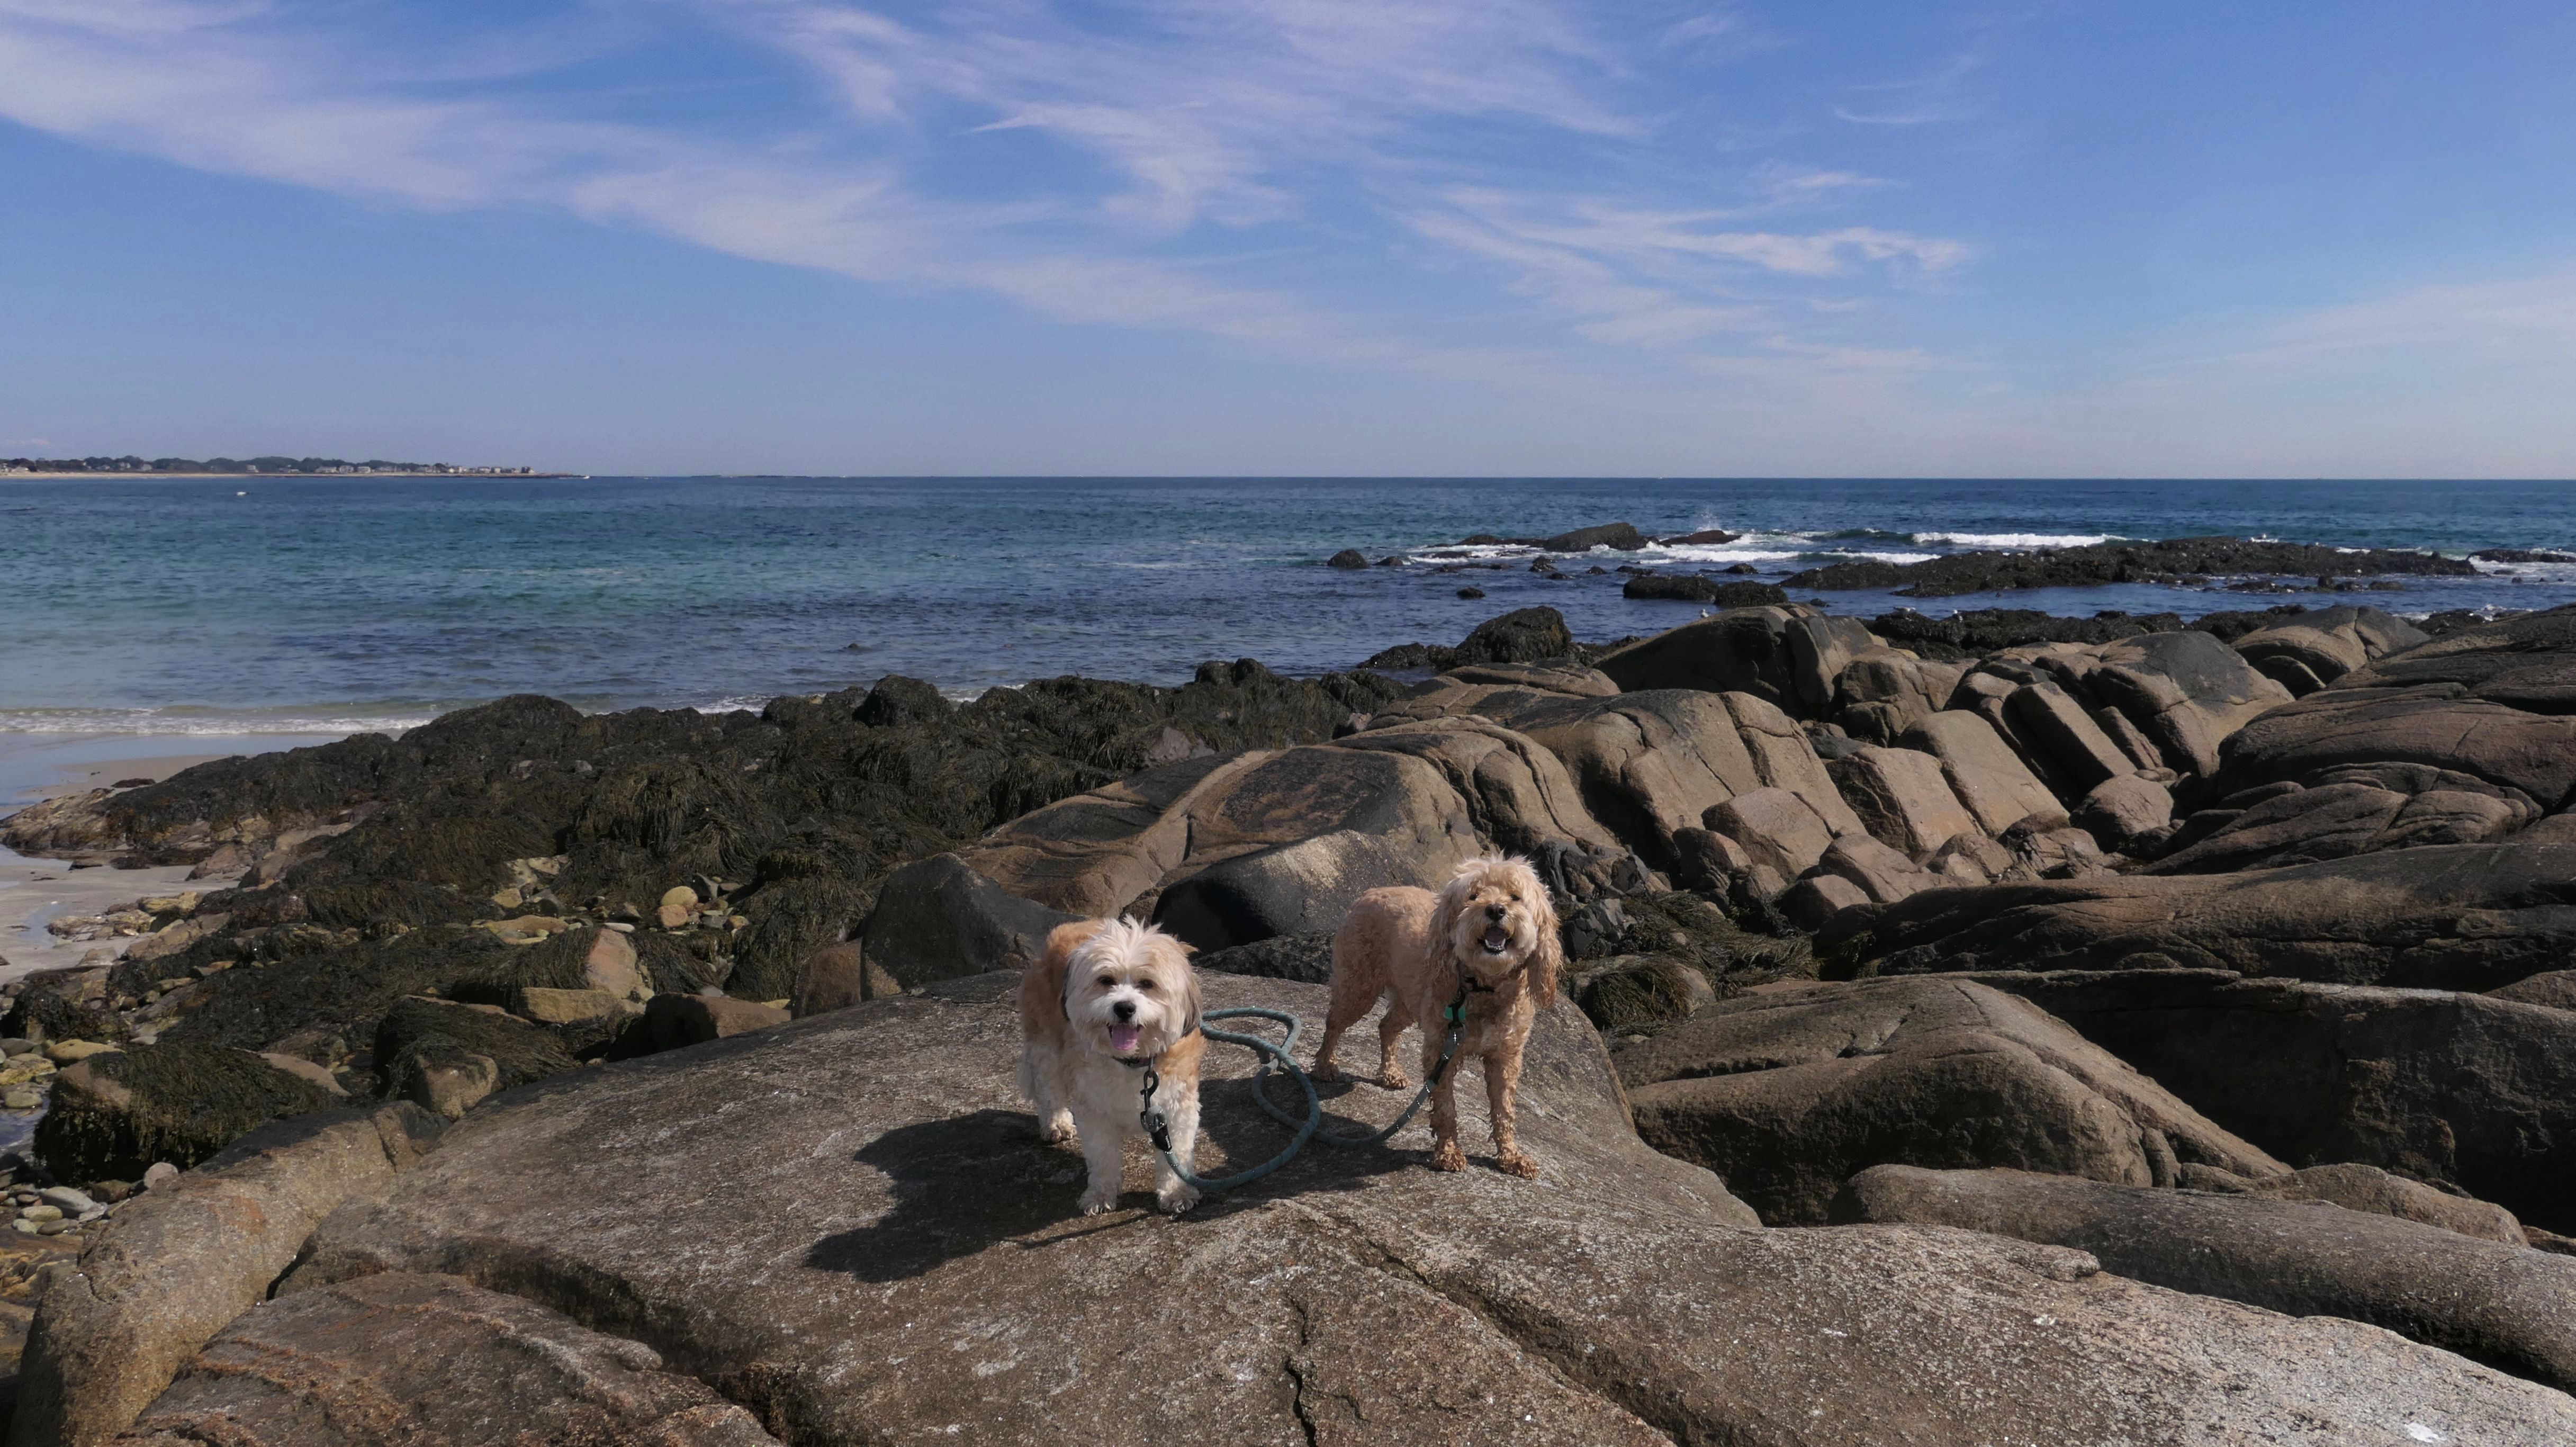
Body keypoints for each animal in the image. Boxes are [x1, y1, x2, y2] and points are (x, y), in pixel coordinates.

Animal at [1018, 917, 1206, 1215]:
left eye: (1147, 983)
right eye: (1106, 981)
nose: (1124, 1008)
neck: (1131, 1061)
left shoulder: (1177, 1109)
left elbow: (1174, 1154)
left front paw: (1177, 1192)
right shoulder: (1093, 1109)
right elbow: (1102, 1156)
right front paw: (1100, 1193)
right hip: (1045, 1045)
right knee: (1049, 1088)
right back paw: (1056, 1123)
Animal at [1311, 855, 1561, 1177]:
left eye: (1515, 896)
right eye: (1473, 896)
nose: (1496, 910)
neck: (1484, 985)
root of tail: (1371, 891)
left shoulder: (1505, 1058)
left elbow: (1504, 1110)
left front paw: (1510, 1156)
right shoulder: (1442, 1051)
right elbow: (1445, 1107)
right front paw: (1449, 1152)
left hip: (1408, 1001)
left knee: (1386, 1026)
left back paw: (1390, 1073)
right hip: (1359, 987)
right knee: (1333, 1023)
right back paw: (1325, 1066)